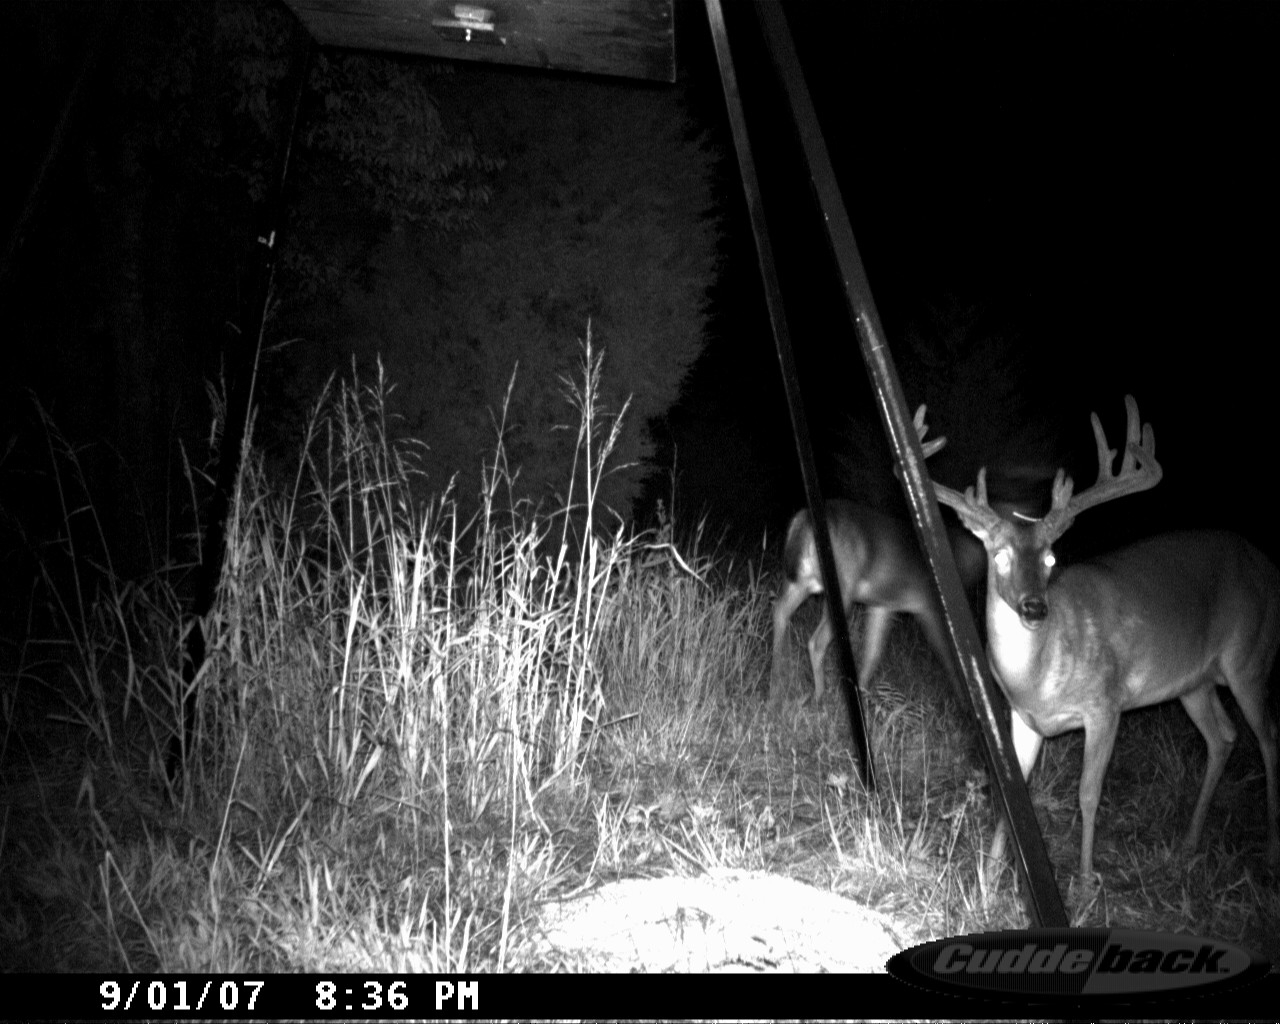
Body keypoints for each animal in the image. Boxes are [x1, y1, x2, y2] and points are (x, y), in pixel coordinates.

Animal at [770, 499, 987, 703]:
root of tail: (805, 519)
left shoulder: (882, 604)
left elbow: (872, 652)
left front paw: (863, 692)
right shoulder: (929, 605)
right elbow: (949, 658)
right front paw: (965, 701)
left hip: (799, 582)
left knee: (779, 612)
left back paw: (777, 685)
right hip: (841, 588)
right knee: (815, 642)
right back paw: (818, 696)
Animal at [923, 394, 1280, 884]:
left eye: (1051, 558)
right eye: (1000, 556)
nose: (1034, 608)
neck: (1036, 679)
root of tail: (1269, 568)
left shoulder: (1106, 705)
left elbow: (1088, 794)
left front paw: (1087, 878)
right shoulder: (1023, 718)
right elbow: (1016, 789)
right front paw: (992, 877)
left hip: (1250, 658)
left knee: (1269, 739)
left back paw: (1270, 854)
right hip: (1194, 682)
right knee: (1223, 736)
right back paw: (1189, 842)